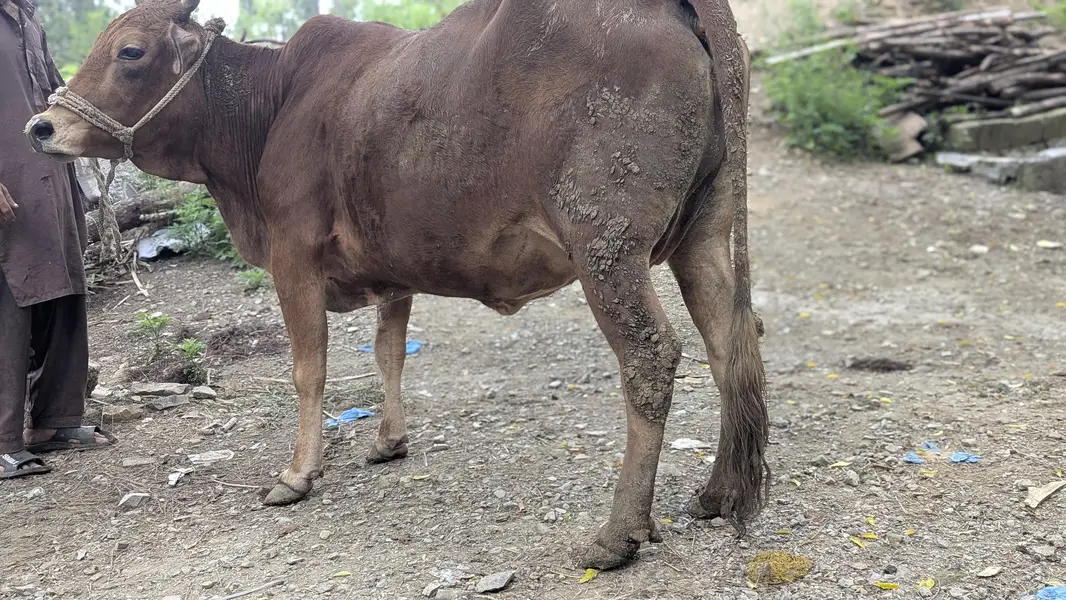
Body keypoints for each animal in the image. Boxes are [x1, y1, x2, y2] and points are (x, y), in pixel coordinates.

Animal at [26, 0, 769, 569]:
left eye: (130, 51)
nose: (41, 125)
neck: (270, 107)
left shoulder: (293, 260)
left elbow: (310, 371)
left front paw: (297, 474)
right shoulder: (392, 268)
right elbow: (388, 354)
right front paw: (388, 441)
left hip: (605, 248)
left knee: (651, 358)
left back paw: (618, 536)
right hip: (703, 237)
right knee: (731, 344)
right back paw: (718, 494)